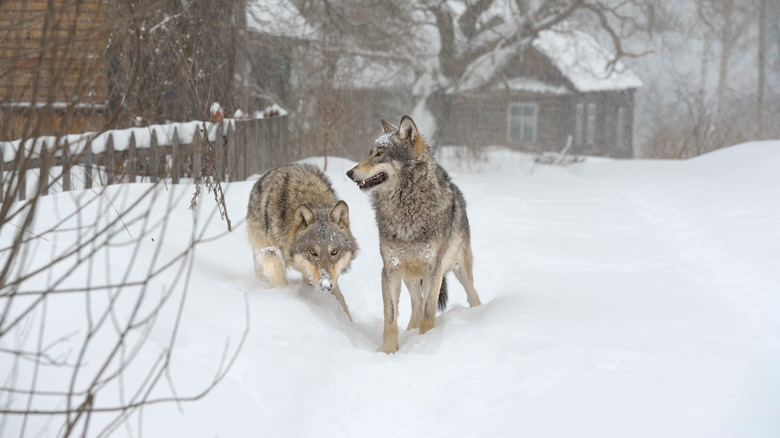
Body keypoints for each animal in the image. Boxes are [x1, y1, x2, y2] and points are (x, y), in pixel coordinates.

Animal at [248, 163, 358, 320]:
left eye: (334, 252)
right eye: (313, 252)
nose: (326, 286)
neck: (311, 197)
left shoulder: (327, 277)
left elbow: (341, 299)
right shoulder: (273, 255)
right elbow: (279, 281)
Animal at [348, 114, 482, 352]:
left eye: (379, 154)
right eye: (369, 153)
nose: (349, 173)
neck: (405, 209)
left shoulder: (433, 268)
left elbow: (429, 313)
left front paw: (426, 343)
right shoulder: (390, 269)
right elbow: (391, 317)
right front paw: (388, 351)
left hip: (460, 269)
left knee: (472, 296)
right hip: (409, 276)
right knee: (416, 305)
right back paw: (409, 333)